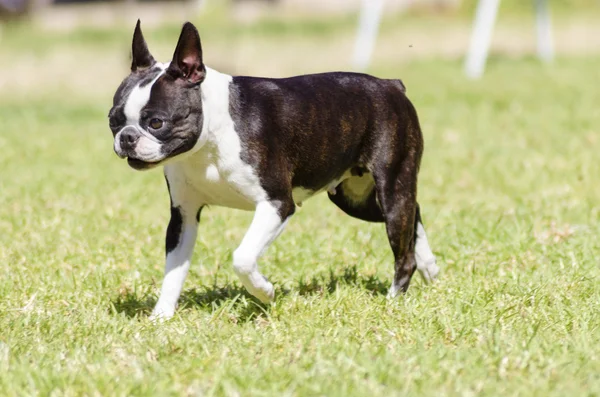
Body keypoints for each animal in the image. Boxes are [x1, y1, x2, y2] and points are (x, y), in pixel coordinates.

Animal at [108, 20, 438, 318]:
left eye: (156, 123)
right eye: (113, 120)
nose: (126, 137)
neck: (209, 141)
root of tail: (391, 85)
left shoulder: (277, 203)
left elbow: (242, 257)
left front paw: (264, 292)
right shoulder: (184, 217)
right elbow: (173, 272)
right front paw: (161, 317)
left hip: (391, 186)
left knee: (404, 244)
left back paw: (394, 299)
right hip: (354, 199)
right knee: (414, 214)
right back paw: (429, 267)